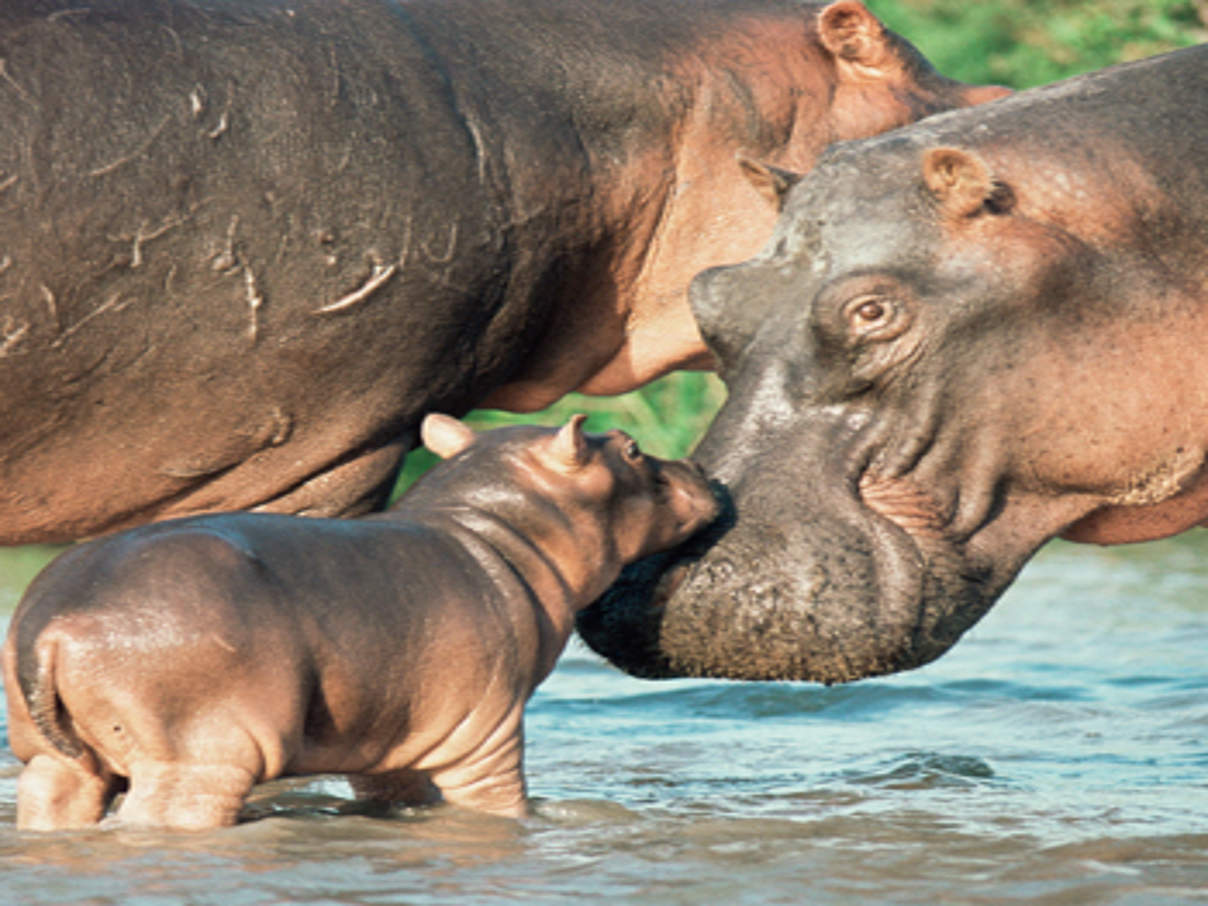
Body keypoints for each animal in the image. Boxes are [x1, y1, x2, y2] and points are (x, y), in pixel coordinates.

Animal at [2, 415, 715, 835]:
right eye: (631, 448)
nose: (702, 469)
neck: (494, 526)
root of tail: (53, 625)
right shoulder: (486, 734)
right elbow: (498, 802)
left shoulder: (393, 737)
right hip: (198, 755)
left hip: (55, 755)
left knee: (55, 795)